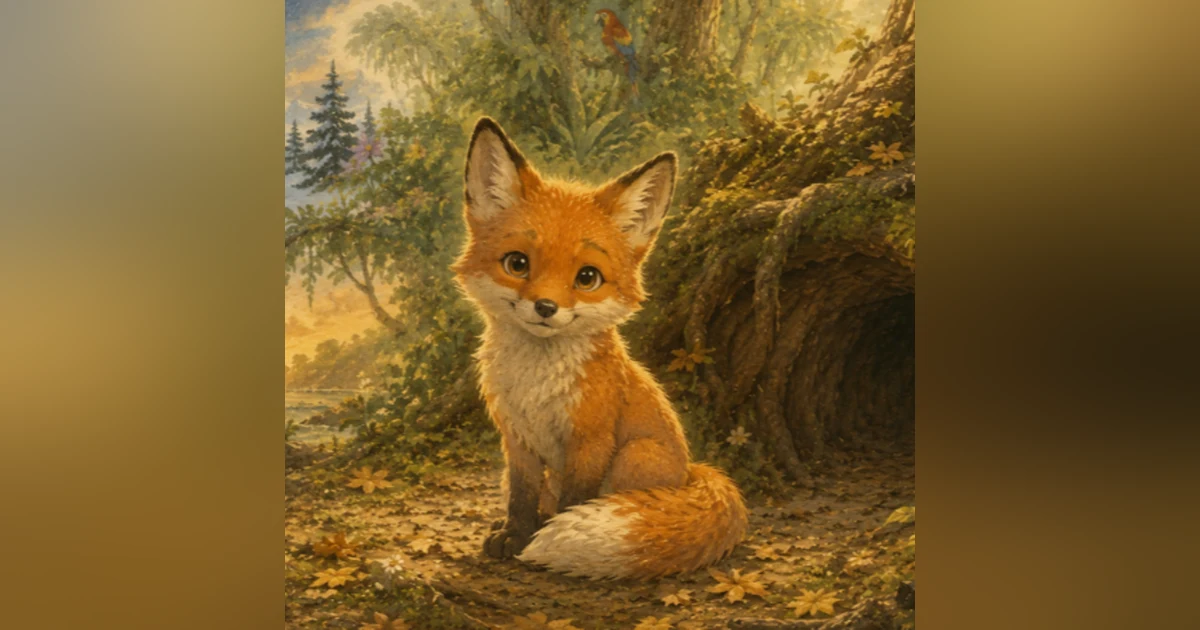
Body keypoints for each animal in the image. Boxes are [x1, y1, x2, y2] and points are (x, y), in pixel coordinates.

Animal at [452, 117, 748, 580]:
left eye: (587, 277)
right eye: (517, 264)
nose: (546, 307)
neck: (538, 385)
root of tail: (690, 472)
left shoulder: (591, 440)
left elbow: (576, 498)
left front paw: (548, 539)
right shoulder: (516, 439)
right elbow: (521, 497)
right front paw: (515, 535)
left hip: (635, 455)